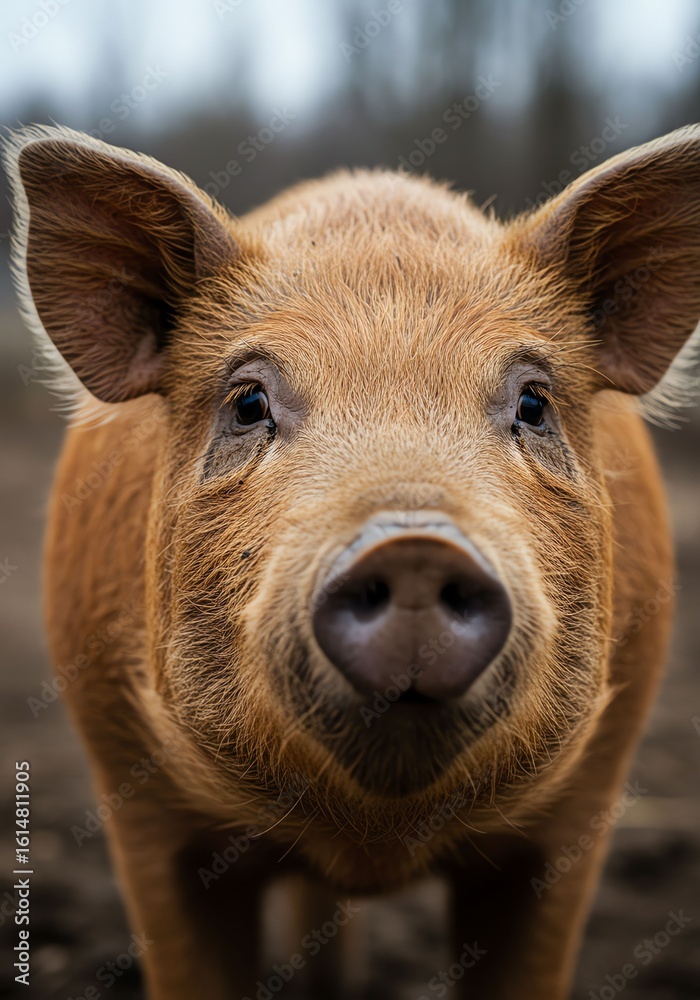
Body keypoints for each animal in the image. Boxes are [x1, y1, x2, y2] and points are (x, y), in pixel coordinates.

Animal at [5, 122, 699, 999]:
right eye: (248, 402)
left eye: (534, 403)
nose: (414, 546)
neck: (374, 837)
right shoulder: (136, 792)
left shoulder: (583, 803)